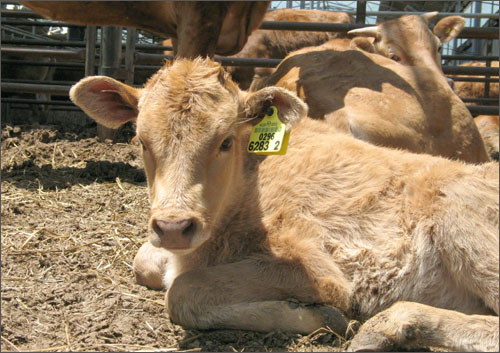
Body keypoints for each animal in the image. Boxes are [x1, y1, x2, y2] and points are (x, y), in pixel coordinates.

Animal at [72, 58, 498, 352]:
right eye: (141, 140)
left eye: (226, 140)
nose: (174, 227)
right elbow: (145, 263)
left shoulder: (315, 265)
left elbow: (182, 292)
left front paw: (323, 315)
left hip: (461, 222)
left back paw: (390, 325)